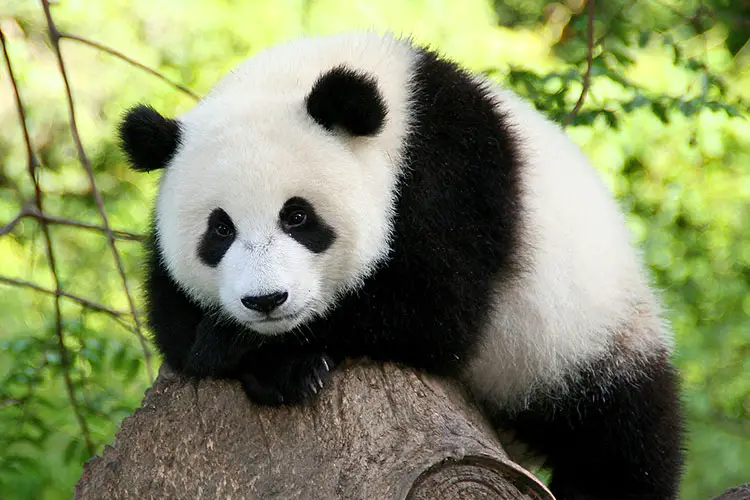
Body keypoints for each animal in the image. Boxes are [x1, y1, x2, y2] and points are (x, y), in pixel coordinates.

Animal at [119, 31, 688, 500]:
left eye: (297, 216)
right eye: (220, 230)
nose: (266, 301)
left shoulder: (454, 177)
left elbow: (434, 309)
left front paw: (280, 360)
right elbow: (172, 324)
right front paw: (247, 354)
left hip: (587, 333)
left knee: (620, 435)